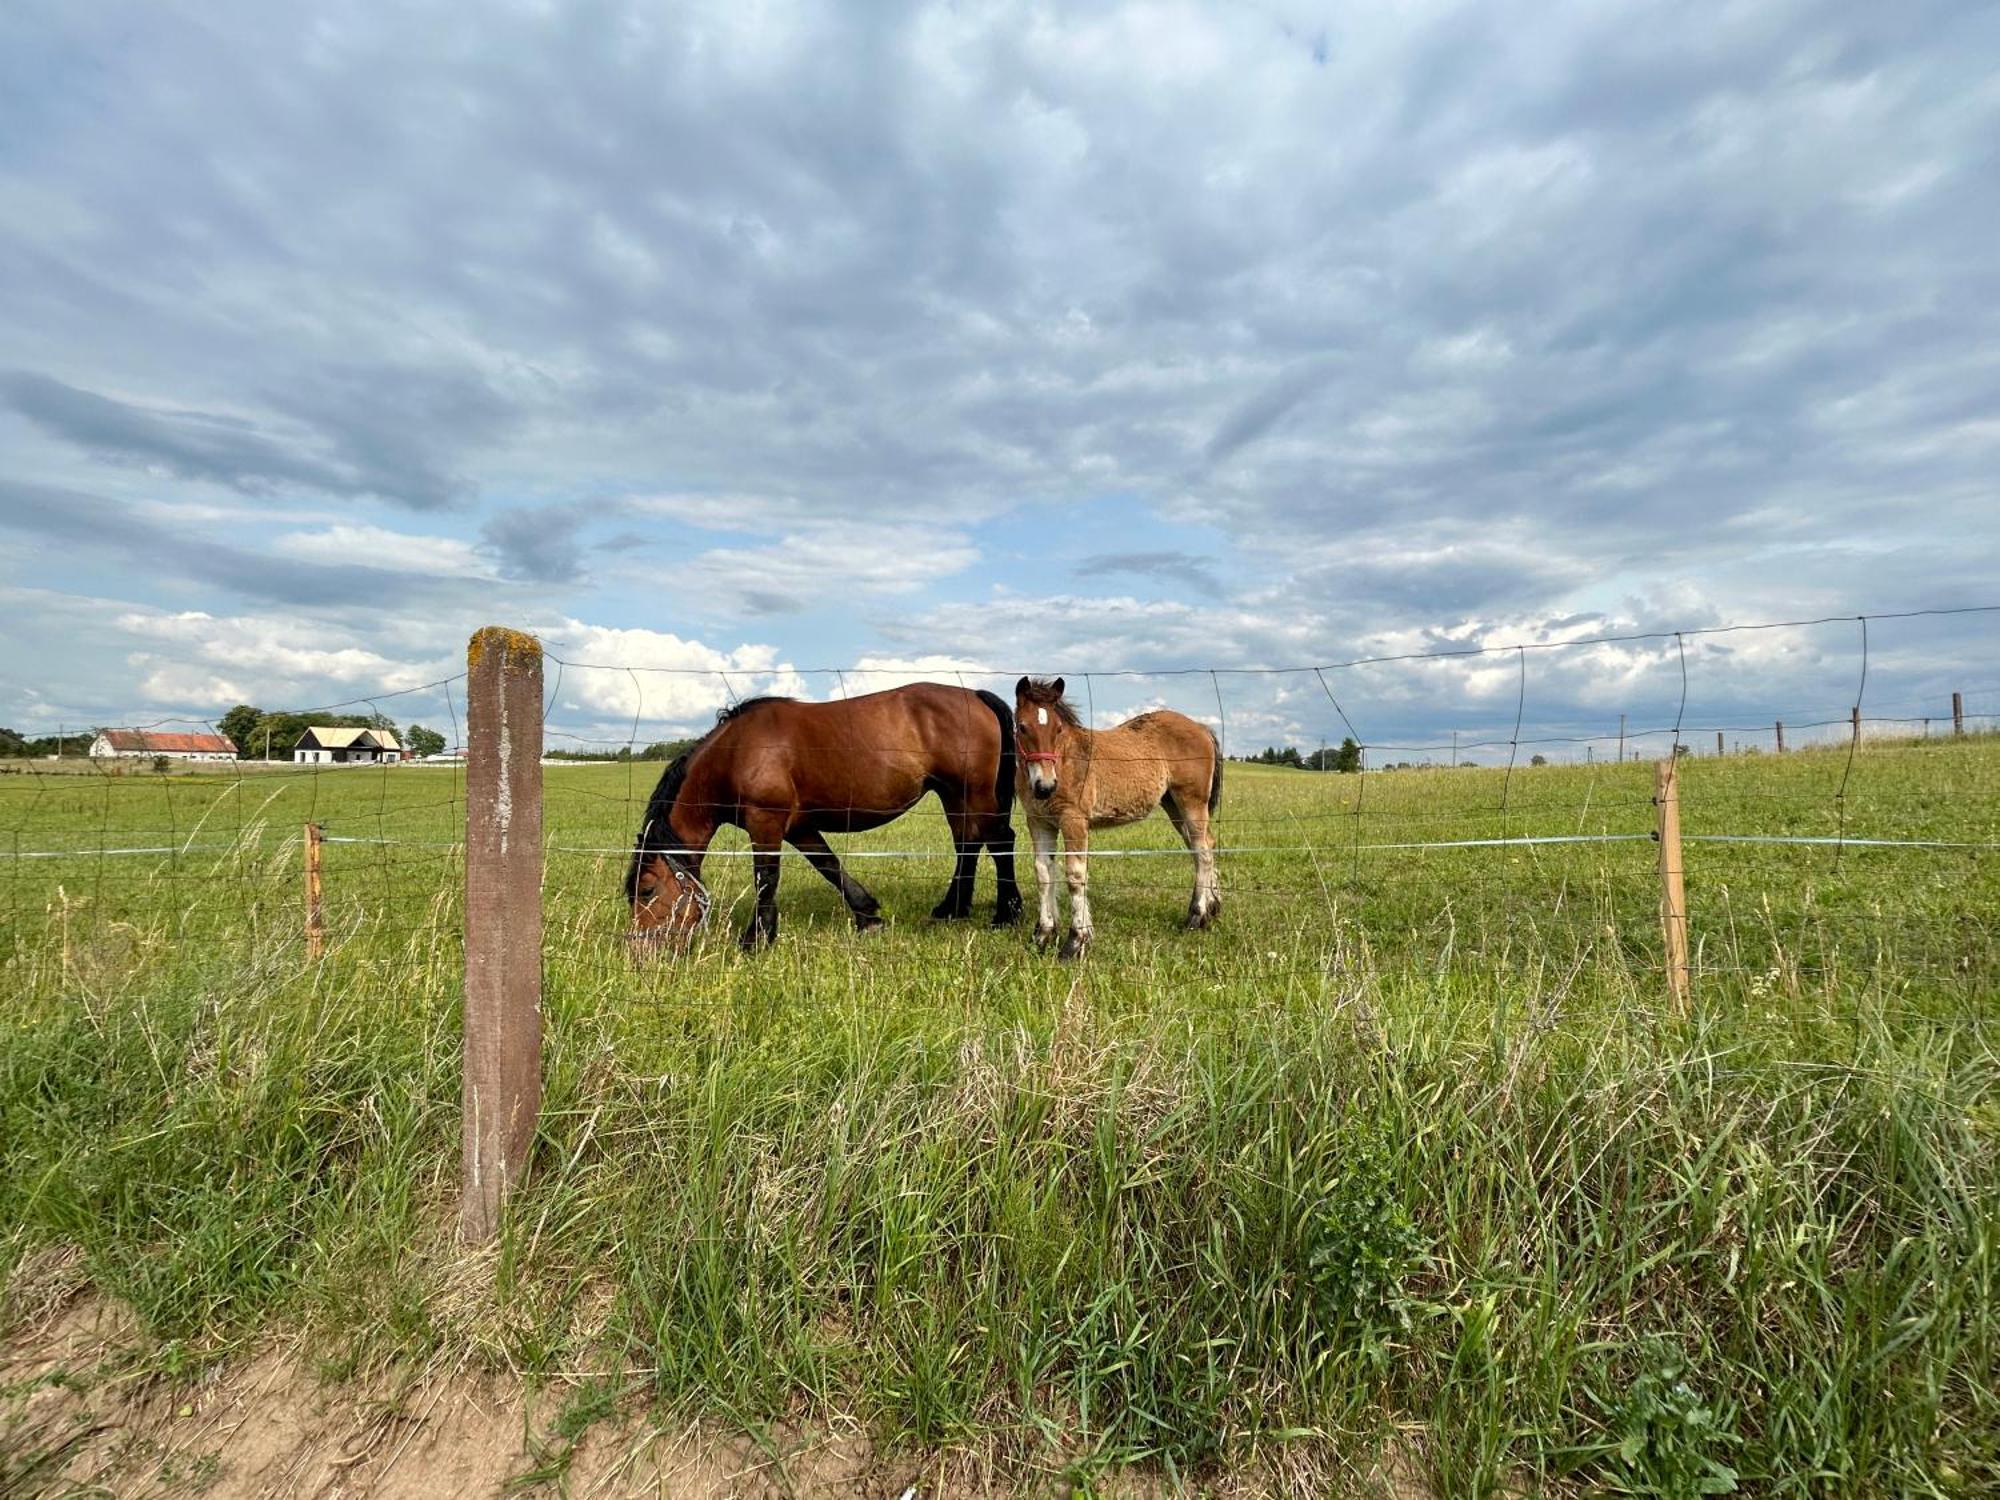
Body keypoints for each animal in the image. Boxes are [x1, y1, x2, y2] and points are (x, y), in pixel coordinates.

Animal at [624, 684, 1024, 952]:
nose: (639, 947)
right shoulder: (799, 826)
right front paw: (868, 916)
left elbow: (766, 878)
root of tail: (975, 695)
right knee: (968, 845)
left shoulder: (765, 822)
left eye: (647, 890)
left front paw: (756, 939)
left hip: (974, 793)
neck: (735, 753)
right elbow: (828, 865)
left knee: (1000, 842)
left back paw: (1006, 914)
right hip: (954, 796)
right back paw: (951, 909)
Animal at [1016, 676, 1216, 956]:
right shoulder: (1038, 822)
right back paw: (1212, 908)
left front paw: (1076, 941)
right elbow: (1043, 874)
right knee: (1204, 846)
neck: (1065, 760)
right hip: (1174, 807)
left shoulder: (1073, 821)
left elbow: (1075, 876)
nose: (1045, 786)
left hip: (1192, 802)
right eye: (1022, 727)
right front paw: (1043, 935)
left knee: (1203, 852)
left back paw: (1196, 916)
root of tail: (1201, 727)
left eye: (1058, 729)